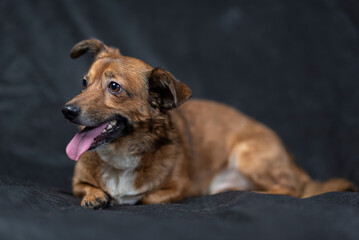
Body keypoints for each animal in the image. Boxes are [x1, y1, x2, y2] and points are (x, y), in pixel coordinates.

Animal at [62, 39, 358, 208]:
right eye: (84, 83)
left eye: (114, 87)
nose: (66, 110)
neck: (121, 155)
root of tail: (293, 162)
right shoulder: (76, 184)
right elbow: (86, 188)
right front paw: (95, 196)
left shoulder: (179, 188)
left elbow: (146, 197)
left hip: (248, 154)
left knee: (292, 190)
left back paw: (256, 192)